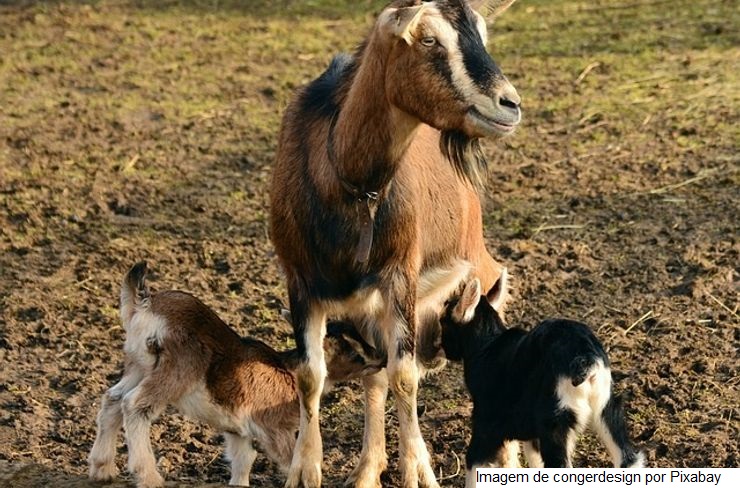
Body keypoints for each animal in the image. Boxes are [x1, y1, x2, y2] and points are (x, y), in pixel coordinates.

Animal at [88, 262, 385, 488]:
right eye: (353, 352)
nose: (381, 358)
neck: (288, 373)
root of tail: (145, 306)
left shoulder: (238, 429)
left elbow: (244, 460)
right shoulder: (273, 427)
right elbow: (291, 459)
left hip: (138, 365)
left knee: (113, 398)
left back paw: (102, 469)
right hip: (178, 367)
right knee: (135, 404)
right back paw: (149, 478)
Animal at [270, 1, 521, 486]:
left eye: (481, 33)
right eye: (428, 39)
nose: (510, 103)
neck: (348, 183)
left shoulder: (401, 274)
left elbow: (404, 375)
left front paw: (418, 470)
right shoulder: (300, 281)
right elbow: (311, 375)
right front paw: (305, 470)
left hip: (478, 268)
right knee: (375, 375)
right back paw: (368, 468)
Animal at [438, 277, 645, 487]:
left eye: (443, 321)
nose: (443, 350)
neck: (487, 345)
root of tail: (585, 356)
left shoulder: (486, 425)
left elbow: (474, 465)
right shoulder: (531, 432)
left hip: (556, 420)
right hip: (605, 407)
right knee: (629, 460)